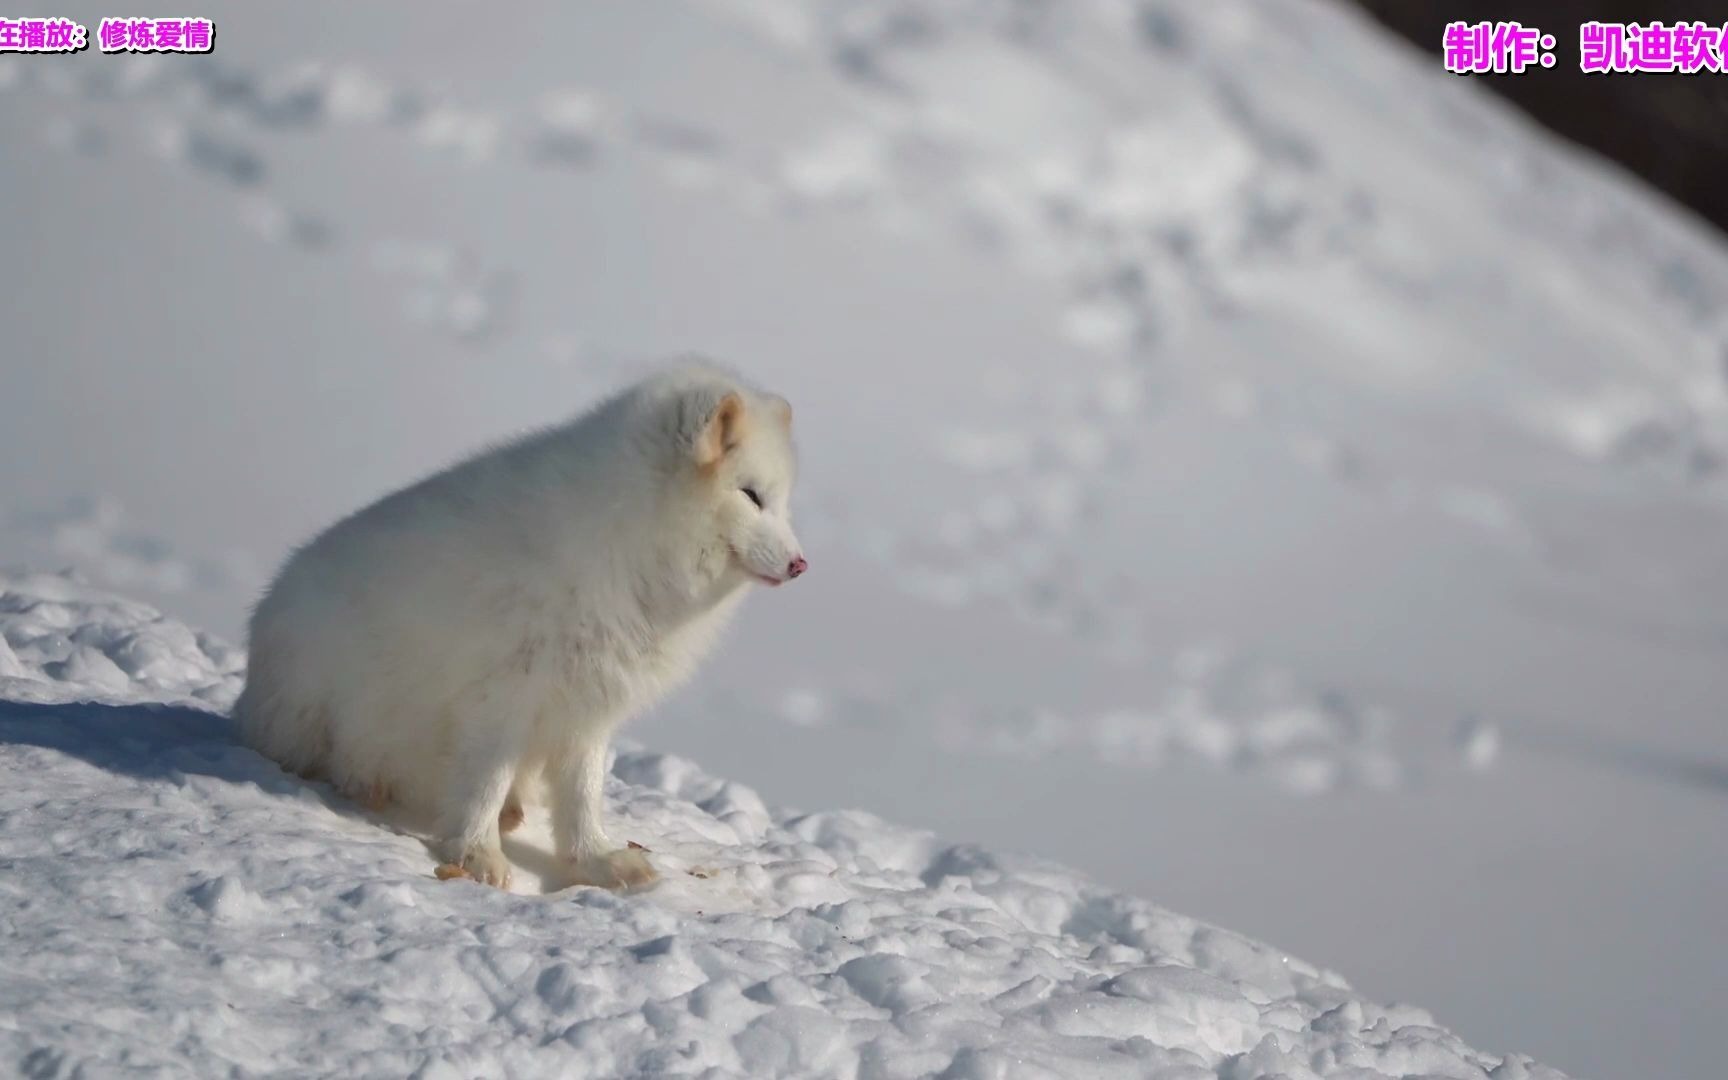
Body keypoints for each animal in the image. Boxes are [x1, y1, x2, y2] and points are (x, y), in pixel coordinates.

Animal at [233, 362, 805, 884]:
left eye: (783, 504)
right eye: (751, 495)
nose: (801, 565)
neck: (629, 542)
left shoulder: (590, 702)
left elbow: (582, 796)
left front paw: (596, 860)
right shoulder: (505, 693)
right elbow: (484, 785)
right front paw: (477, 857)